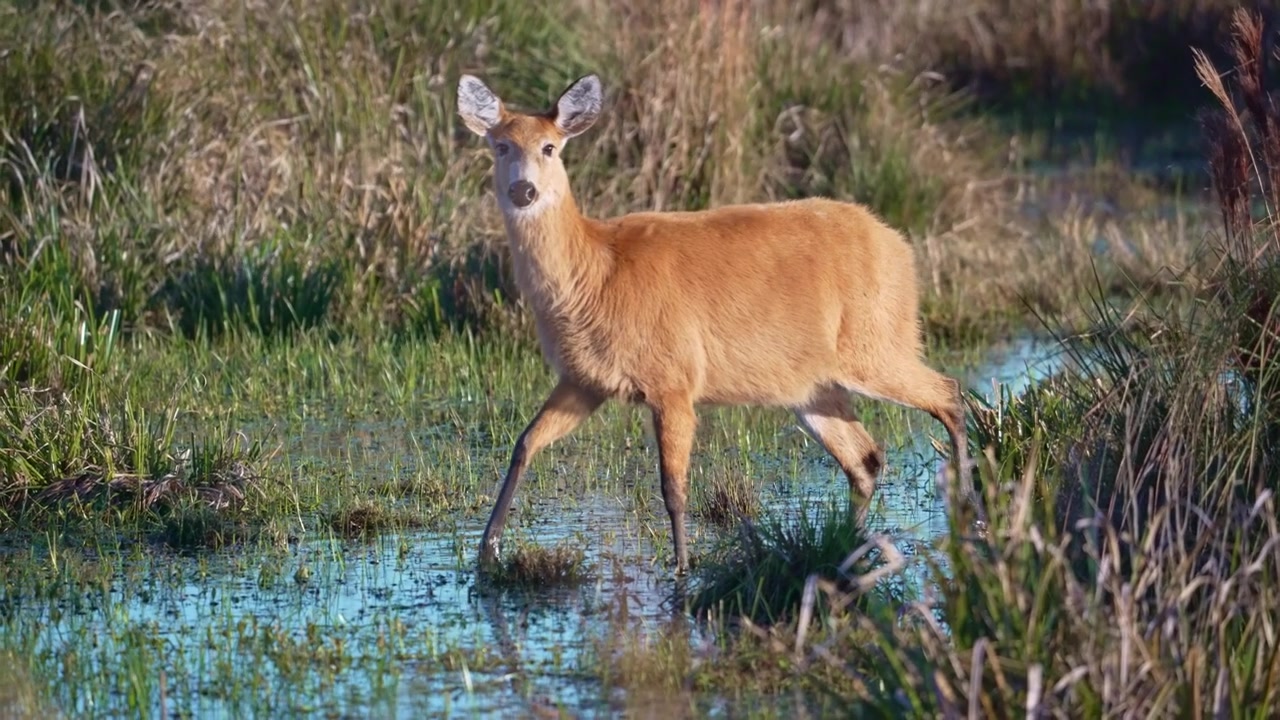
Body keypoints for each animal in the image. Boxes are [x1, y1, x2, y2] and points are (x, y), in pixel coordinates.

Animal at [457, 72, 986, 576]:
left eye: (550, 146)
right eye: (501, 145)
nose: (523, 191)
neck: (596, 273)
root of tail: (899, 247)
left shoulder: (673, 380)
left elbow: (673, 487)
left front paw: (682, 568)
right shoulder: (583, 380)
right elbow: (524, 443)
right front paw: (487, 553)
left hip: (875, 345)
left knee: (948, 394)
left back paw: (971, 517)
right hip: (814, 385)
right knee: (867, 458)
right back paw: (849, 548)